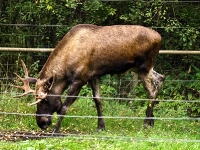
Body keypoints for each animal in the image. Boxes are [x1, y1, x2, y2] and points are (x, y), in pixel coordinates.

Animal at [12, 24, 166, 134]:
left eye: (45, 100)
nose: (41, 122)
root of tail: (160, 37)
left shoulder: (79, 79)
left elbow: (64, 107)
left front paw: (55, 130)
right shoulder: (93, 76)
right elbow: (97, 99)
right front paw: (100, 127)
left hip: (143, 67)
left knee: (151, 91)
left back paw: (145, 124)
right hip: (140, 68)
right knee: (160, 79)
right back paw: (152, 121)